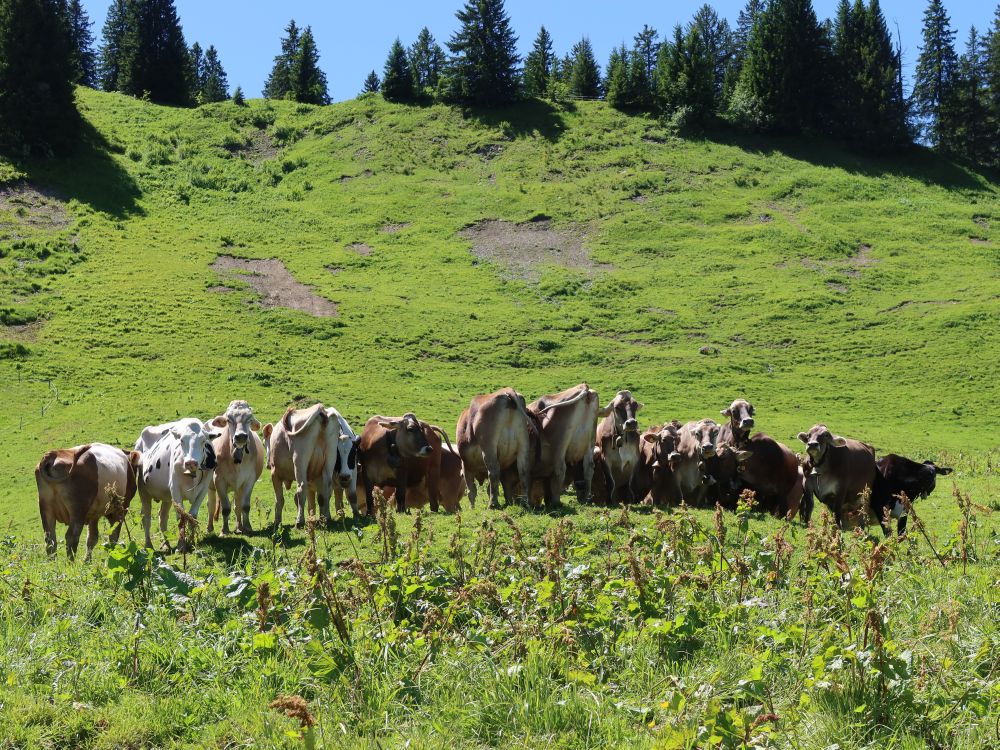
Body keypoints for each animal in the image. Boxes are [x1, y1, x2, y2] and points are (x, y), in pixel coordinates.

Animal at [135, 418, 221, 552]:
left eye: (203, 441)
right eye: (181, 441)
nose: (191, 462)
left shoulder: (203, 489)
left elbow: (192, 516)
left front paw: (192, 542)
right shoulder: (175, 488)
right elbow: (181, 517)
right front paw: (181, 546)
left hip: (166, 496)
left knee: (162, 517)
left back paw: (166, 544)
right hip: (143, 490)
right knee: (146, 518)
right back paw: (148, 545)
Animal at [206, 402, 264, 536]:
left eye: (249, 418)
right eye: (228, 420)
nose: (241, 436)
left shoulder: (249, 480)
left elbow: (244, 506)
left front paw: (247, 527)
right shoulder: (218, 480)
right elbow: (225, 508)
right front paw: (224, 530)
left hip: (238, 488)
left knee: (237, 505)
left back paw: (239, 527)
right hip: (210, 486)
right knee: (211, 505)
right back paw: (209, 528)